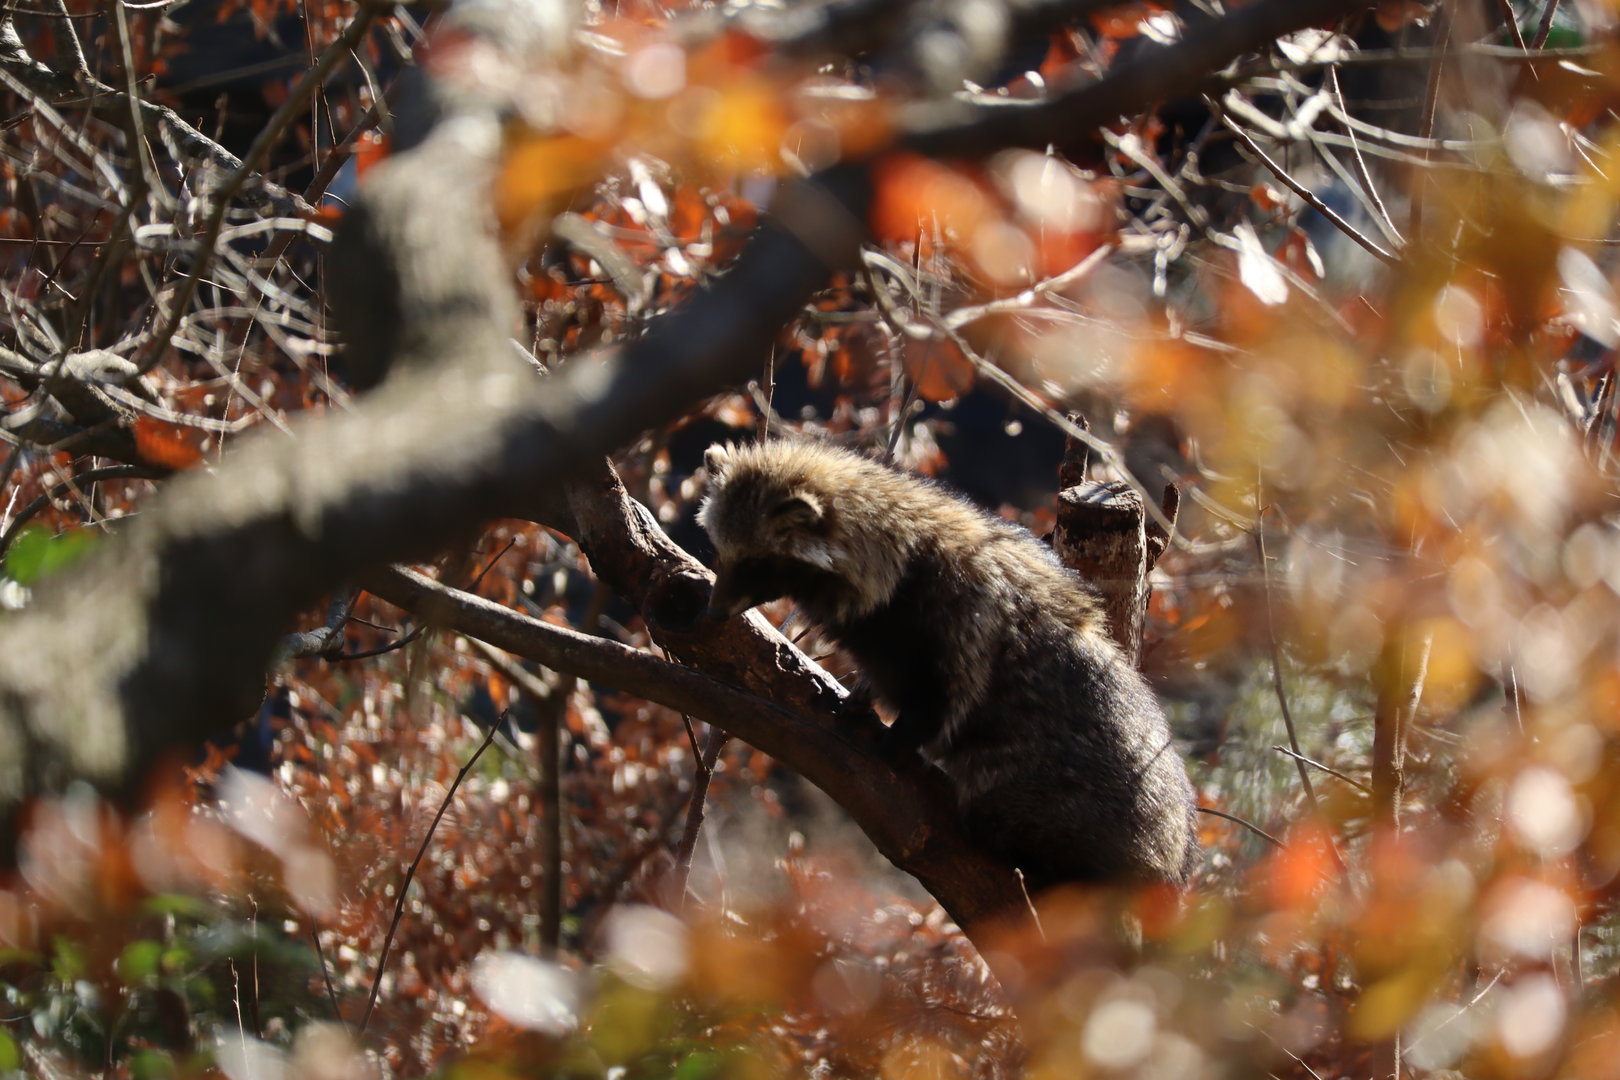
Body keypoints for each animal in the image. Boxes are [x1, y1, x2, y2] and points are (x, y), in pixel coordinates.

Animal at [697, 440, 1198, 890]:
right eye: (721, 550)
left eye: (757, 563)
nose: (713, 613)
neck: (893, 549)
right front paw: (861, 696)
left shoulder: (956, 619)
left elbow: (943, 699)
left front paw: (898, 739)